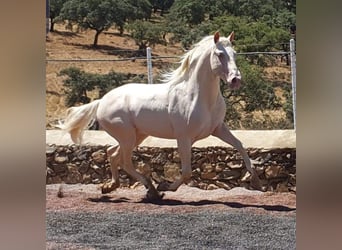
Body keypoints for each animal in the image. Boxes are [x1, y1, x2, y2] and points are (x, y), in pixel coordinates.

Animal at [58, 31, 262, 200]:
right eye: (220, 54)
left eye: (235, 54)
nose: (236, 80)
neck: (199, 97)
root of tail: (102, 101)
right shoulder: (184, 138)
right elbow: (186, 171)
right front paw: (165, 186)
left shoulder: (218, 129)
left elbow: (240, 145)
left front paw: (255, 179)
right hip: (127, 136)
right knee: (125, 161)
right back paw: (152, 189)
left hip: (137, 135)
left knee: (112, 153)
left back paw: (111, 186)